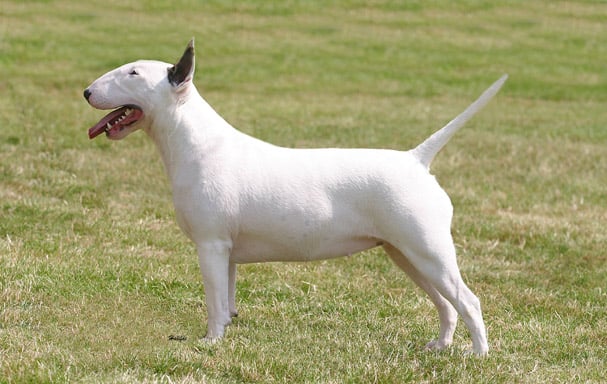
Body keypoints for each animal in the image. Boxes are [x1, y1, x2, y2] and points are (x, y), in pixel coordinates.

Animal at [83, 39, 506, 356]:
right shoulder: (227, 251)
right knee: (446, 304)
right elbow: (227, 297)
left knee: (468, 300)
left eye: (133, 72)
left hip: (428, 249)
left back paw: (478, 355)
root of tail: (416, 160)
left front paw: (210, 343)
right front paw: (228, 331)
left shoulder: (211, 244)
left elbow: (214, 300)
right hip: (406, 253)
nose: (86, 92)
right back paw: (441, 345)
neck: (197, 144)